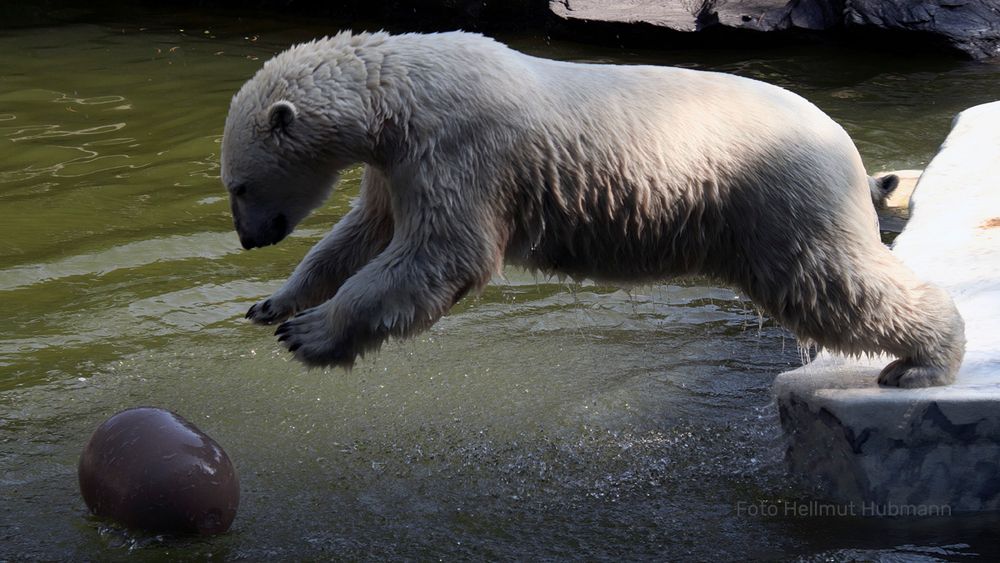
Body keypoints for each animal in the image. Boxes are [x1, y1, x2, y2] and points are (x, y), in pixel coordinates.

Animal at [223, 30, 964, 388]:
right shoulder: (399, 164)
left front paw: (309, 334)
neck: (398, 92)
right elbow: (364, 233)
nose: (250, 240)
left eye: (238, 186)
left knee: (828, 282)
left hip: (776, 195)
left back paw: (923, 362)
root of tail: (845, 146)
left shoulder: (460, 149)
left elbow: (442, 255)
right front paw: (274, 303)